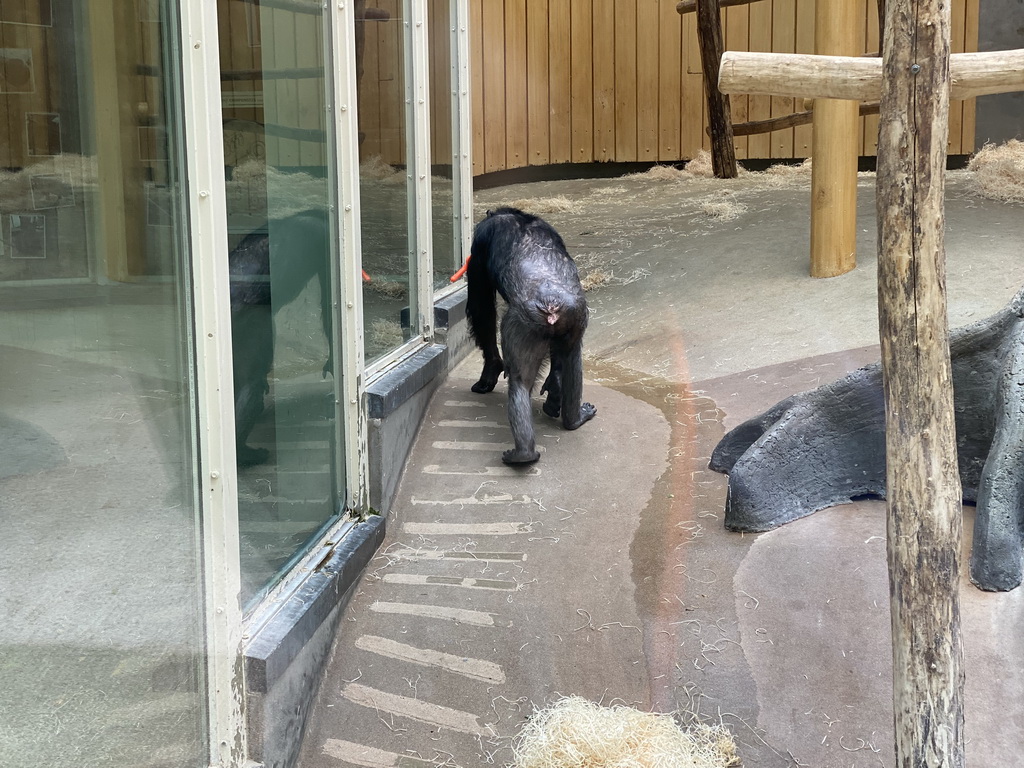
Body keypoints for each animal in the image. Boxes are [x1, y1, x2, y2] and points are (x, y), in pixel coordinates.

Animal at [466, 204, 598, 466]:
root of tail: (552, 305)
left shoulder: (481, 239)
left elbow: (480, 304)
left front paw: (490, 371)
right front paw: (554, 387)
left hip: (520, 329)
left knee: (520, 382)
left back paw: (522, 454)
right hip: (576, 319)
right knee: (572, 359)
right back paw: (574, 419)